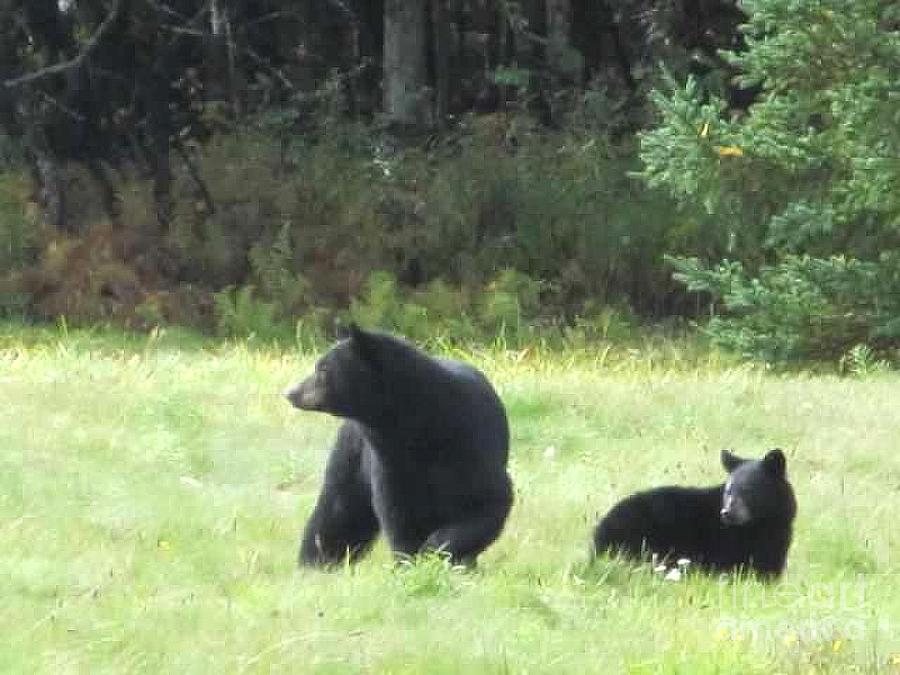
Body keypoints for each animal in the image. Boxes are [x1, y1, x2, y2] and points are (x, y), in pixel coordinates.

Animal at [288, 324, 512, 568]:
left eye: (323, 369)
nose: (291, 392)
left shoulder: (471, 445)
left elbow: (487, 504)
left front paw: (436, 549)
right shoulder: (390, 464)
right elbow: (398, 518)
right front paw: (412, 563)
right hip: (353, 452)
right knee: (338, 508)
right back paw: (316, 562)